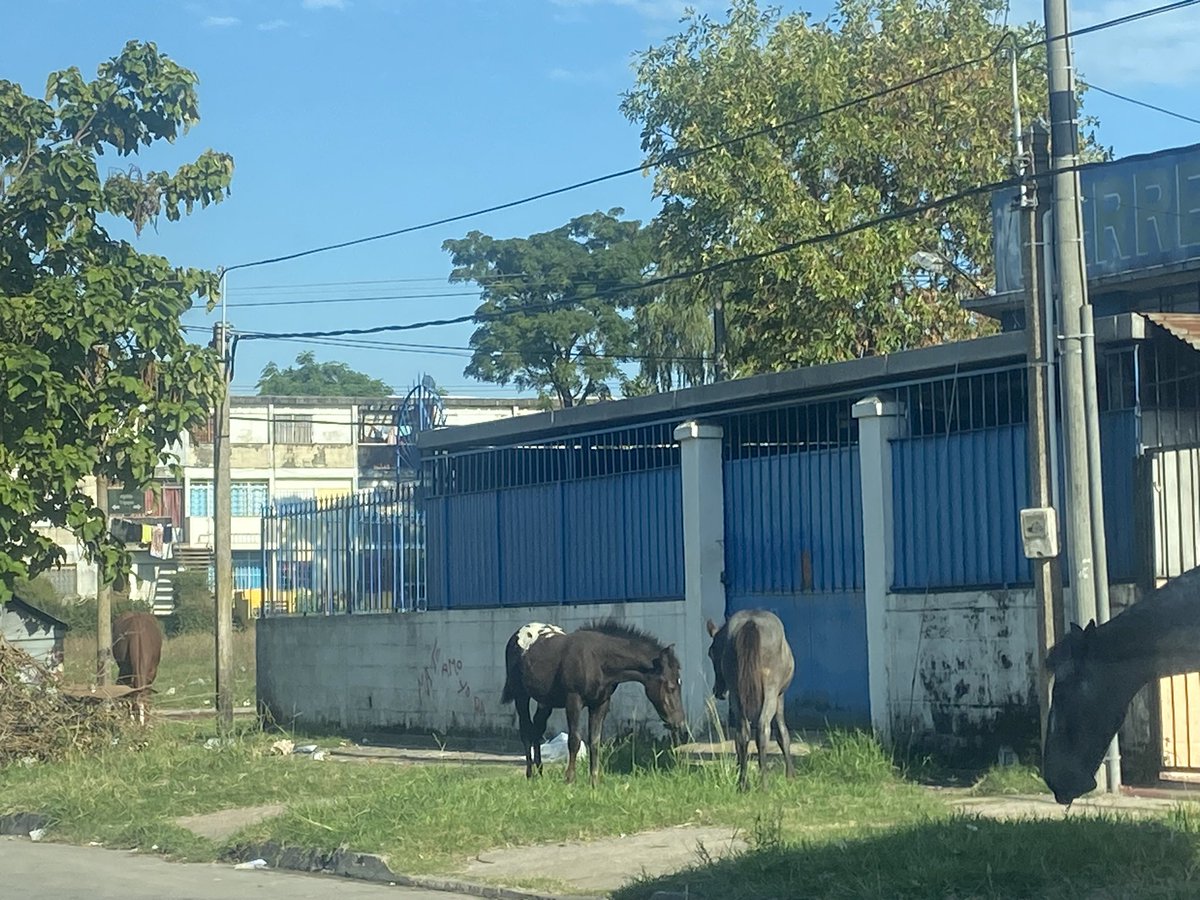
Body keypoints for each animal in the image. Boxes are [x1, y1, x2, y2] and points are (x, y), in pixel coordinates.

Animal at [499, 624, 686, 787]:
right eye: (671, 687)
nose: (679, 723)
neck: (597, 660)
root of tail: (516, 635)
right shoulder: (573, 700)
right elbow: (574, 740)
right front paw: (569, 780)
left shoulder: (600, 703)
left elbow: (595, 741)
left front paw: (594, 782)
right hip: (521, 696)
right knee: (526, 731)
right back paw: (530, 775)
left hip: (545, 702)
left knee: (537, 730)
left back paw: (540, 773)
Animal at [700, 609, 796, 792]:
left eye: (711, 652)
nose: (718, 691)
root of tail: (751, 624)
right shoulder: (780, 696)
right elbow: (783, 734)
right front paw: (790, 777)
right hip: (771, 692)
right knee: (763, 729)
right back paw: (763, 783)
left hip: (736, 695)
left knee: (742, 733)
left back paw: (742, 783)